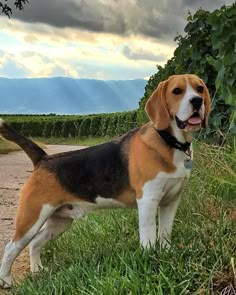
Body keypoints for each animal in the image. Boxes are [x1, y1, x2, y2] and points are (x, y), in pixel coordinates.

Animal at [0, 74, 210, 290]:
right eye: (177, 91)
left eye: (199, 88)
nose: (197, 101)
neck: (170, 142)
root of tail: (43, 159)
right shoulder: (148, 202)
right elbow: (149, 237)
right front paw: (150, 260)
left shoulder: (170, 202)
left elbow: (165, 234)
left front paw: (167, 255)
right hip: (31, 217)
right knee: (11, 247)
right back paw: (6, 280)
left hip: (59, 221)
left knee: (35, 243)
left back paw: (37, 271)